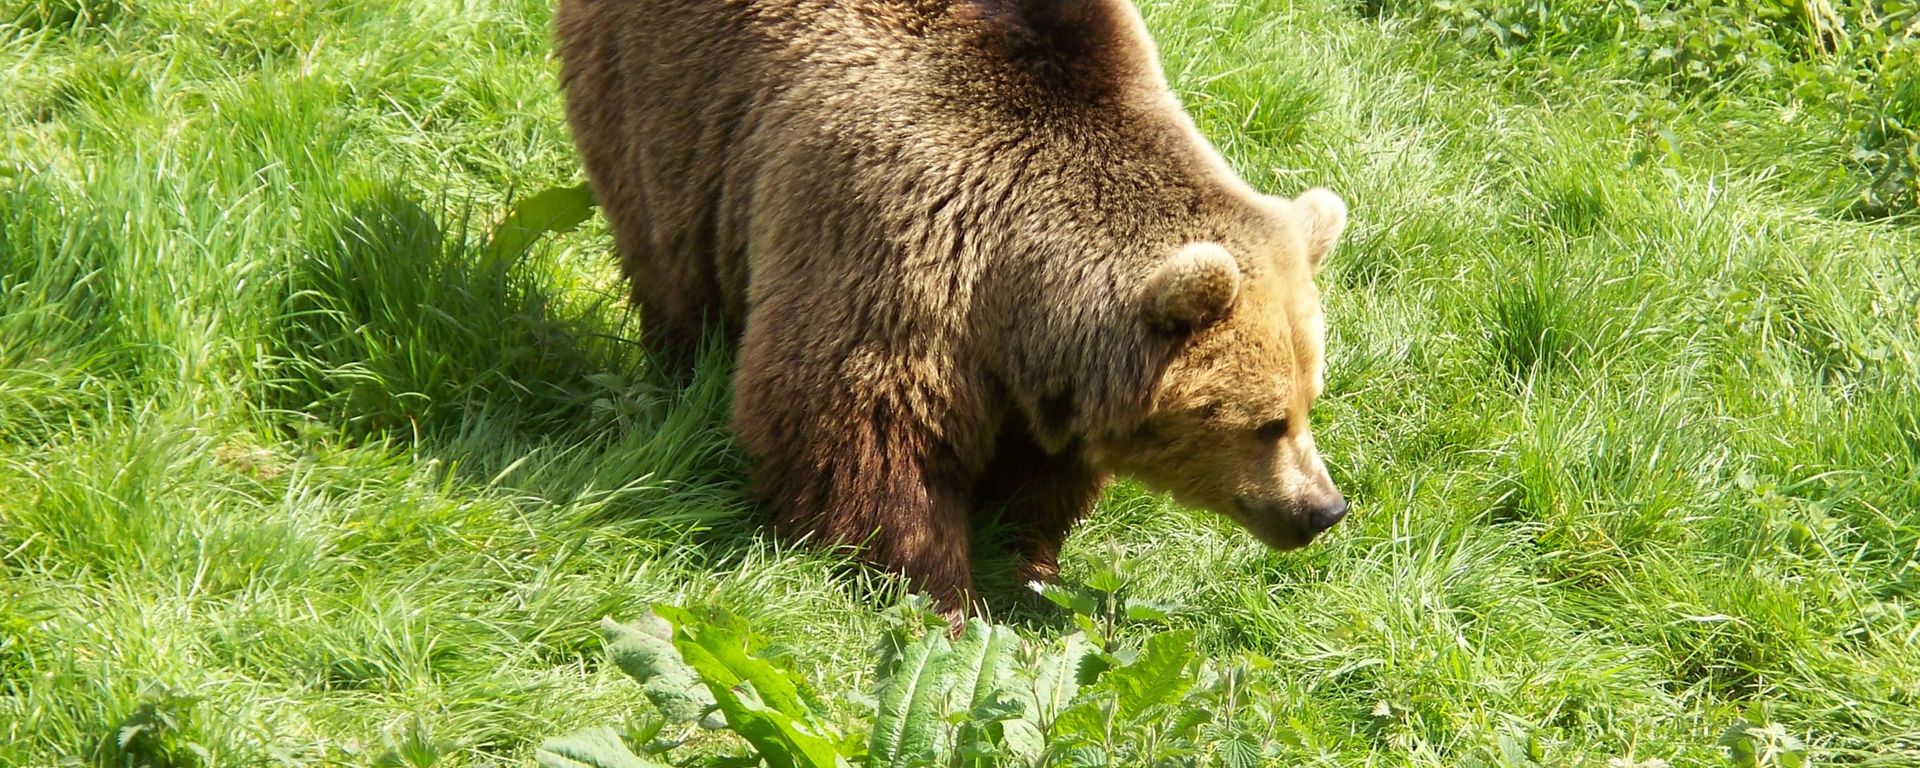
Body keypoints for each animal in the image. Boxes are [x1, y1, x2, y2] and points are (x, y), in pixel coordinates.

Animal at [555, 0, 1351, 618]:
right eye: (1264, 423)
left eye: (1309, 401)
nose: (1323, 508)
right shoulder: (889, 238)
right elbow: (858, 430)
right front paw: (936, 593)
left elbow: (1038, 475)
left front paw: (1028, 564)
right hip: (668, 102)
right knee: (671, 255)